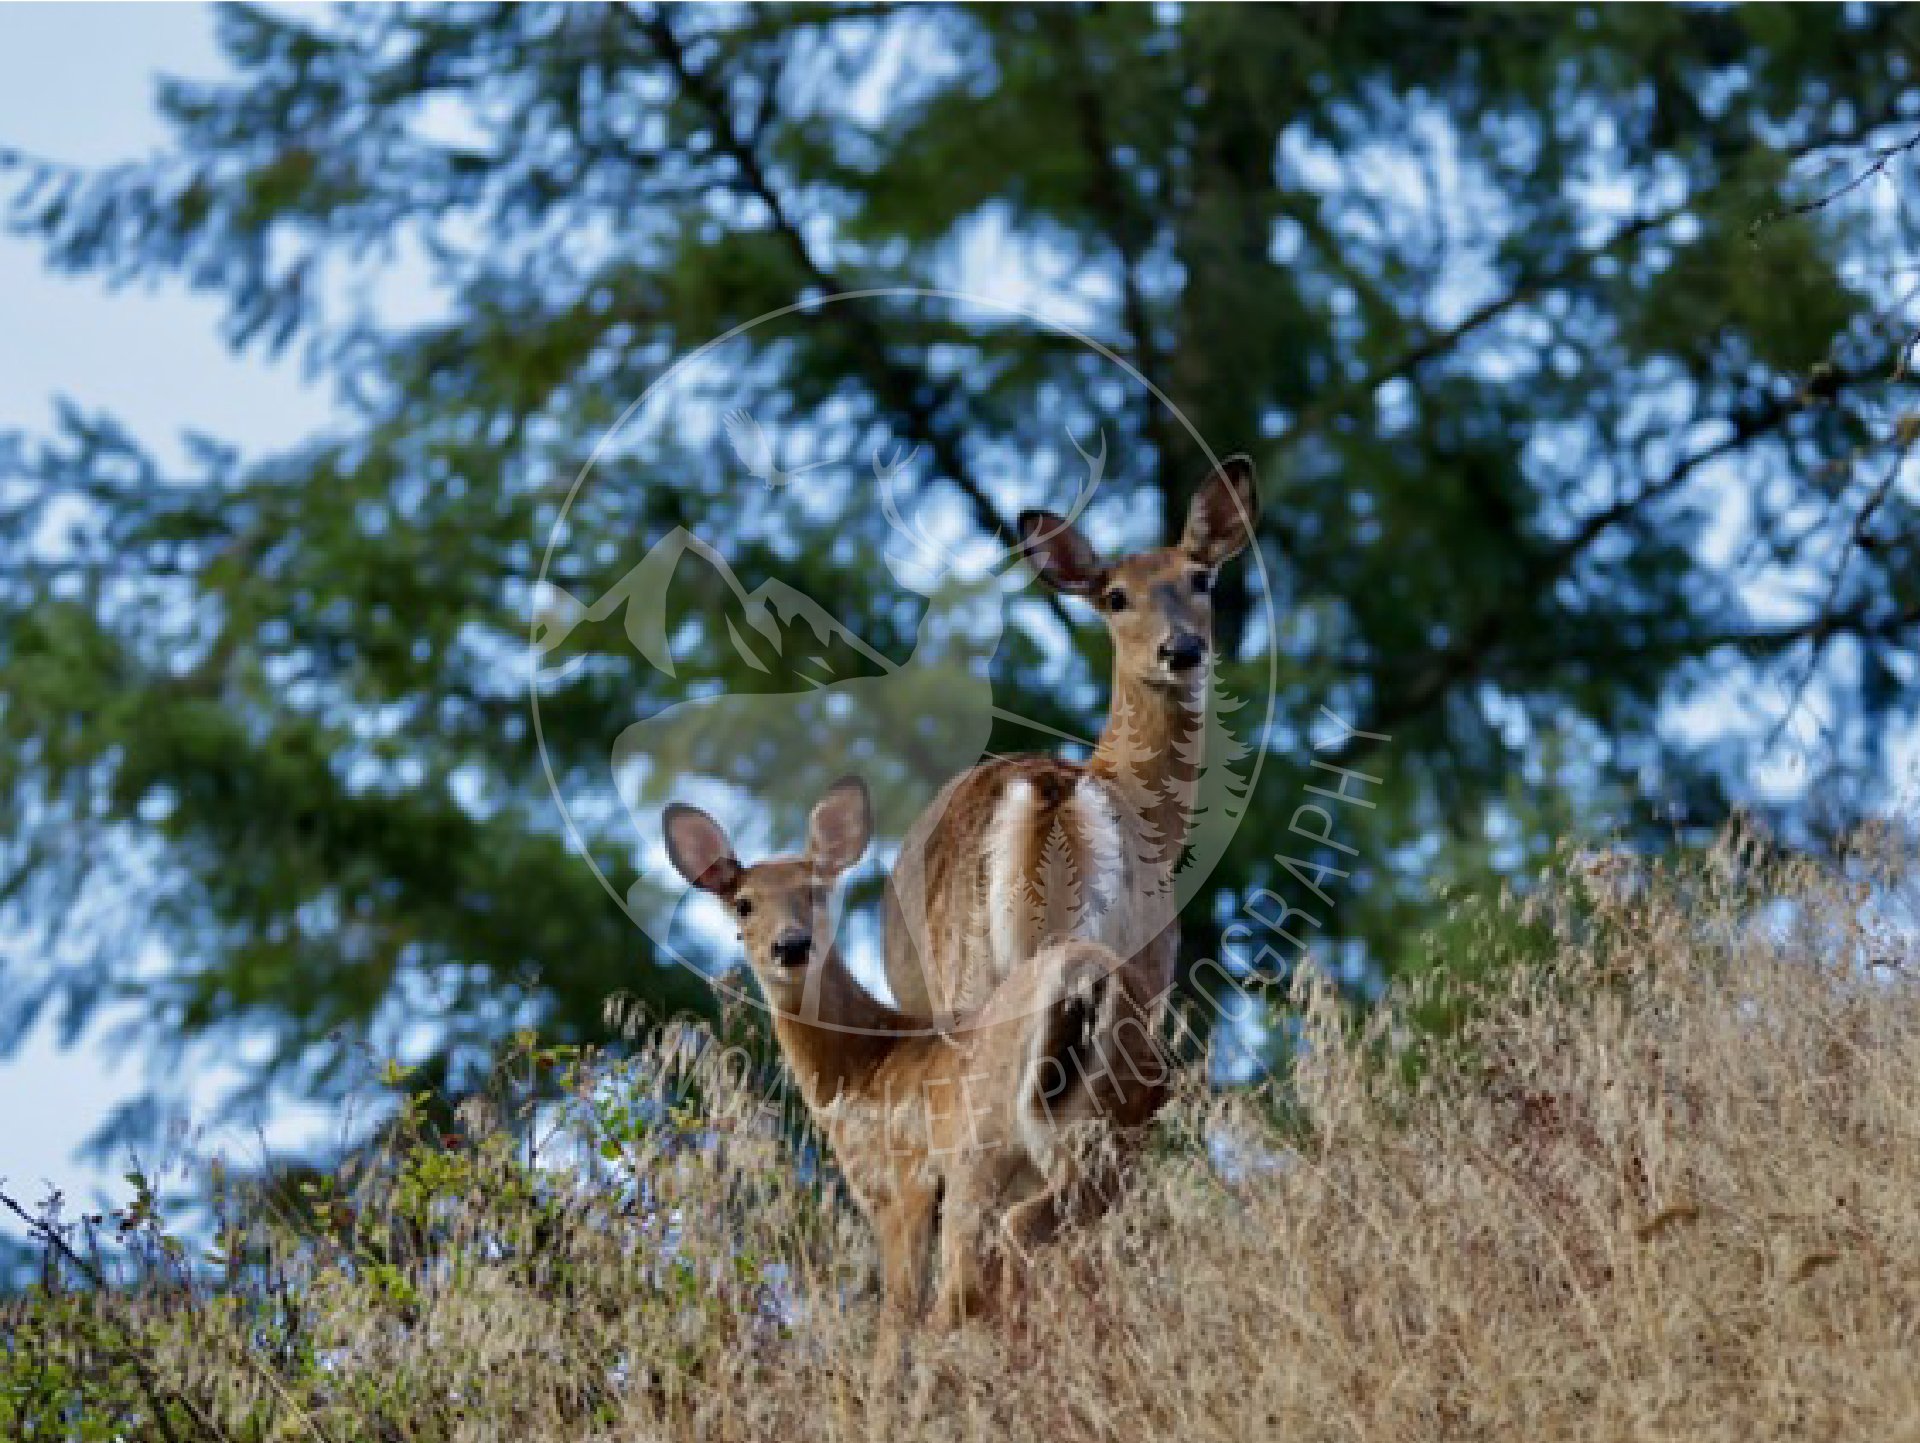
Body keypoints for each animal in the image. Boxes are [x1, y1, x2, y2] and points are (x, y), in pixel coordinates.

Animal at [663, 776, 1167, 1326]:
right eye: (744, 903)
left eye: (816, 891)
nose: (791, 946)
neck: (862, 1065)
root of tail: (1085, 972)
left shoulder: (902, 1181)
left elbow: (899, 1311)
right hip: (1116, 1133)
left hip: (982, 1149)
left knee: (975, 1275)